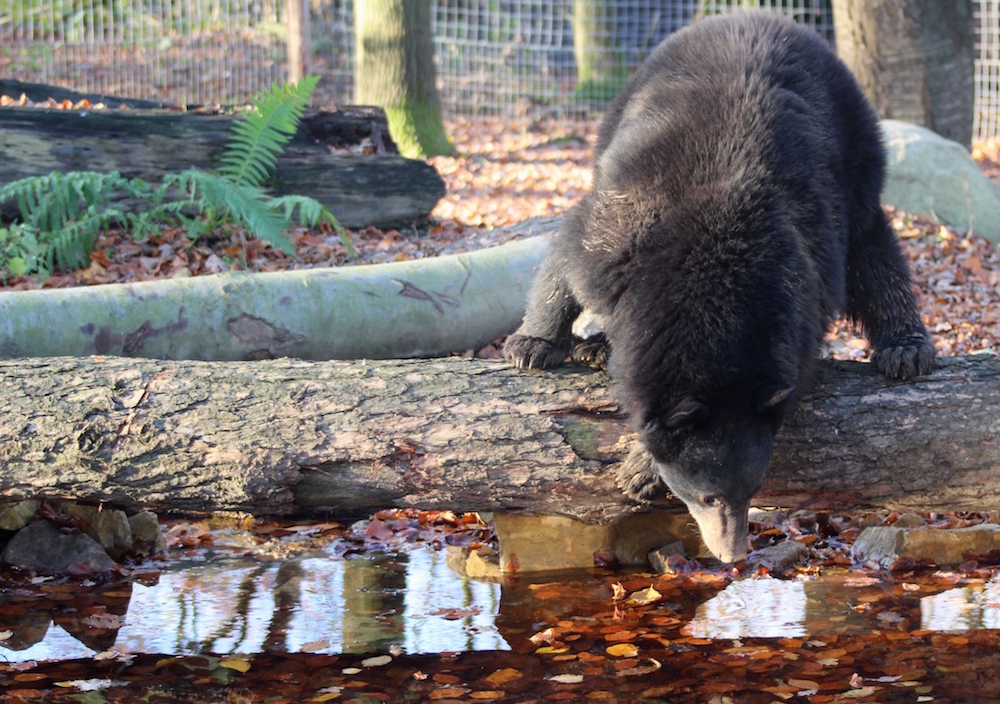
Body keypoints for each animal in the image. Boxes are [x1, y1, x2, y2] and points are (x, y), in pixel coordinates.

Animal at [503, 12, 935, 563]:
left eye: (753, 491)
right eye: (707, 496)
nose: (733, 555)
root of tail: (756, 15)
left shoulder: (806, 268)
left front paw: (640, 468)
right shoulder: (624, 230)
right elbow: (568, 257)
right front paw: (532, 346)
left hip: (855, 157)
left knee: (873, 253)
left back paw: (907, 349)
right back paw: (596, 347)